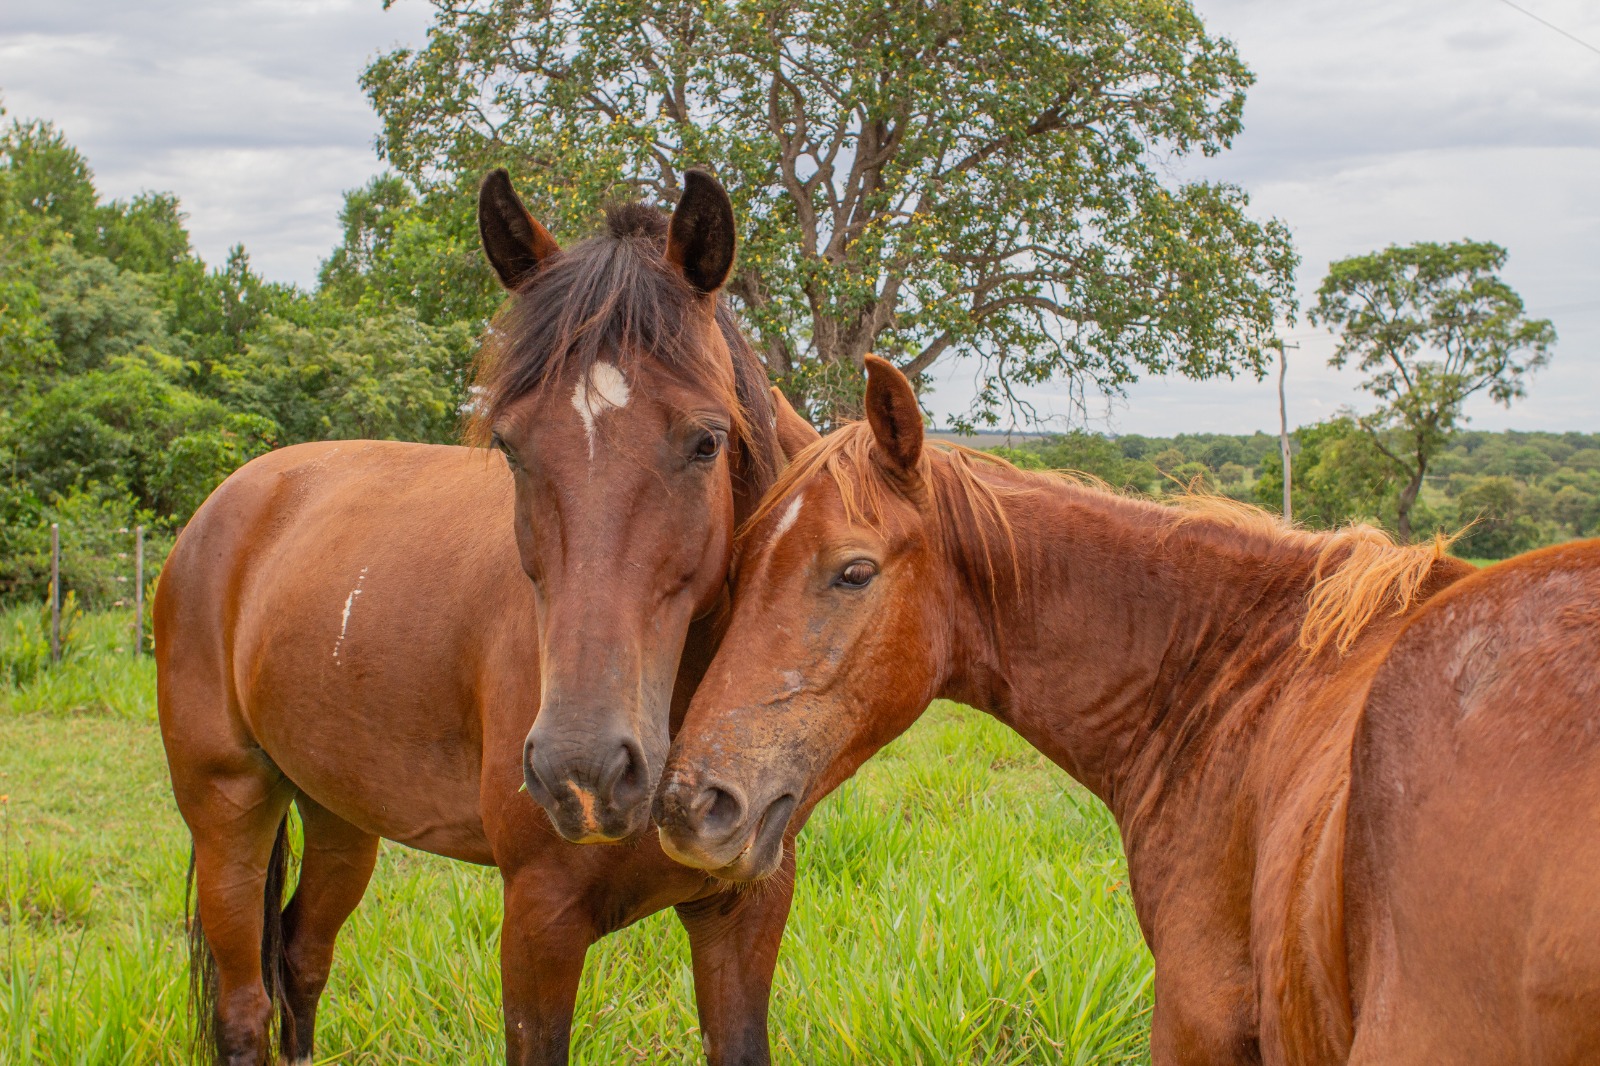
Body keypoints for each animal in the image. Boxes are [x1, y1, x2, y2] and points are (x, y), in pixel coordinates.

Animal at [156, 170, 819, 1056]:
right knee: (243, 1011)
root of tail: (224, 506)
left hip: (337, 814)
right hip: (229, 806)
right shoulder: (540, 920)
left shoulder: (743, 908)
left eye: (708, 441)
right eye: (510, 446)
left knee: (299, 962)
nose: (584, 772)